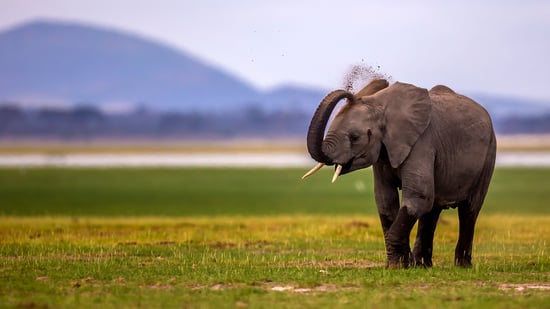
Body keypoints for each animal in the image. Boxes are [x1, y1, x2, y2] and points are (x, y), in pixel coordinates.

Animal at [304, 79, 498, 268]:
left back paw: (462, 266)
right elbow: (385, 200)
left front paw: (397, 266)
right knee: (432, 211)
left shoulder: (422, 143)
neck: (380, 106)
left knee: (469, 210)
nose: (382, 80)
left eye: (354, 137)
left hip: (489, 153)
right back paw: (422, 265)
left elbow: (418, 196)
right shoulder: (383, 152)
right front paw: (400, 264)